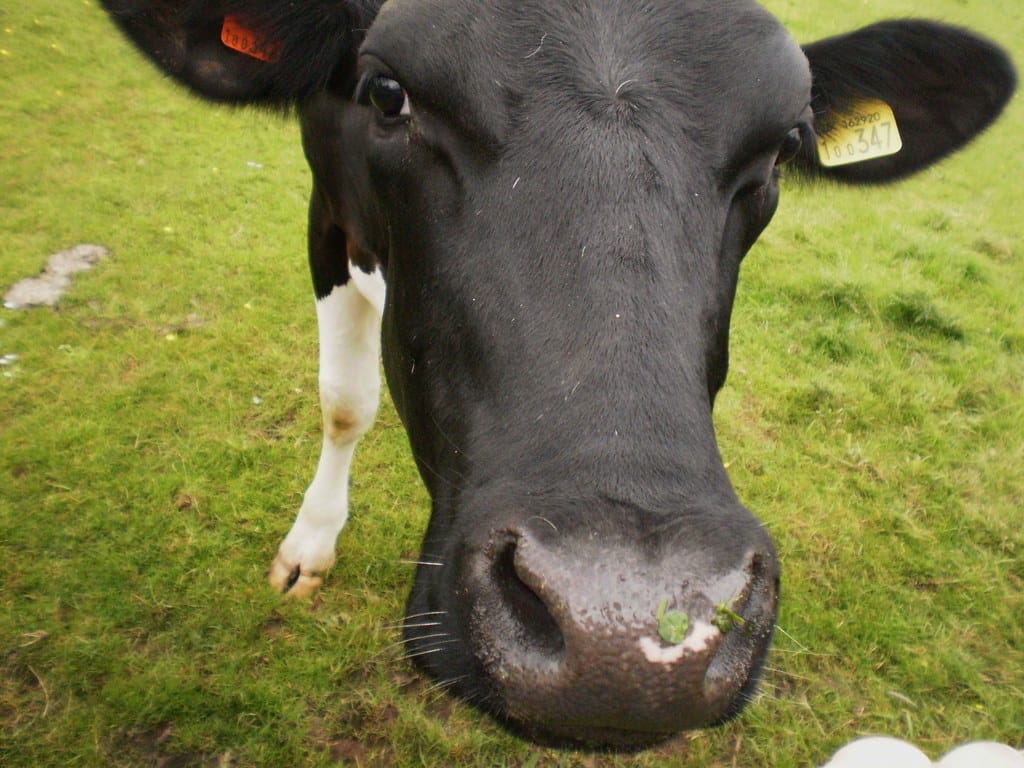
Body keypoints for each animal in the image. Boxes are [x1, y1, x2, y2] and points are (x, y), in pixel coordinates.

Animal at [100, 0, 1015, 750]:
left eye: (787, 144)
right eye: (388, 93)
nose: (627, 631)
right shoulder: (328, 213)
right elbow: (345, 402)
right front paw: (309, 546)